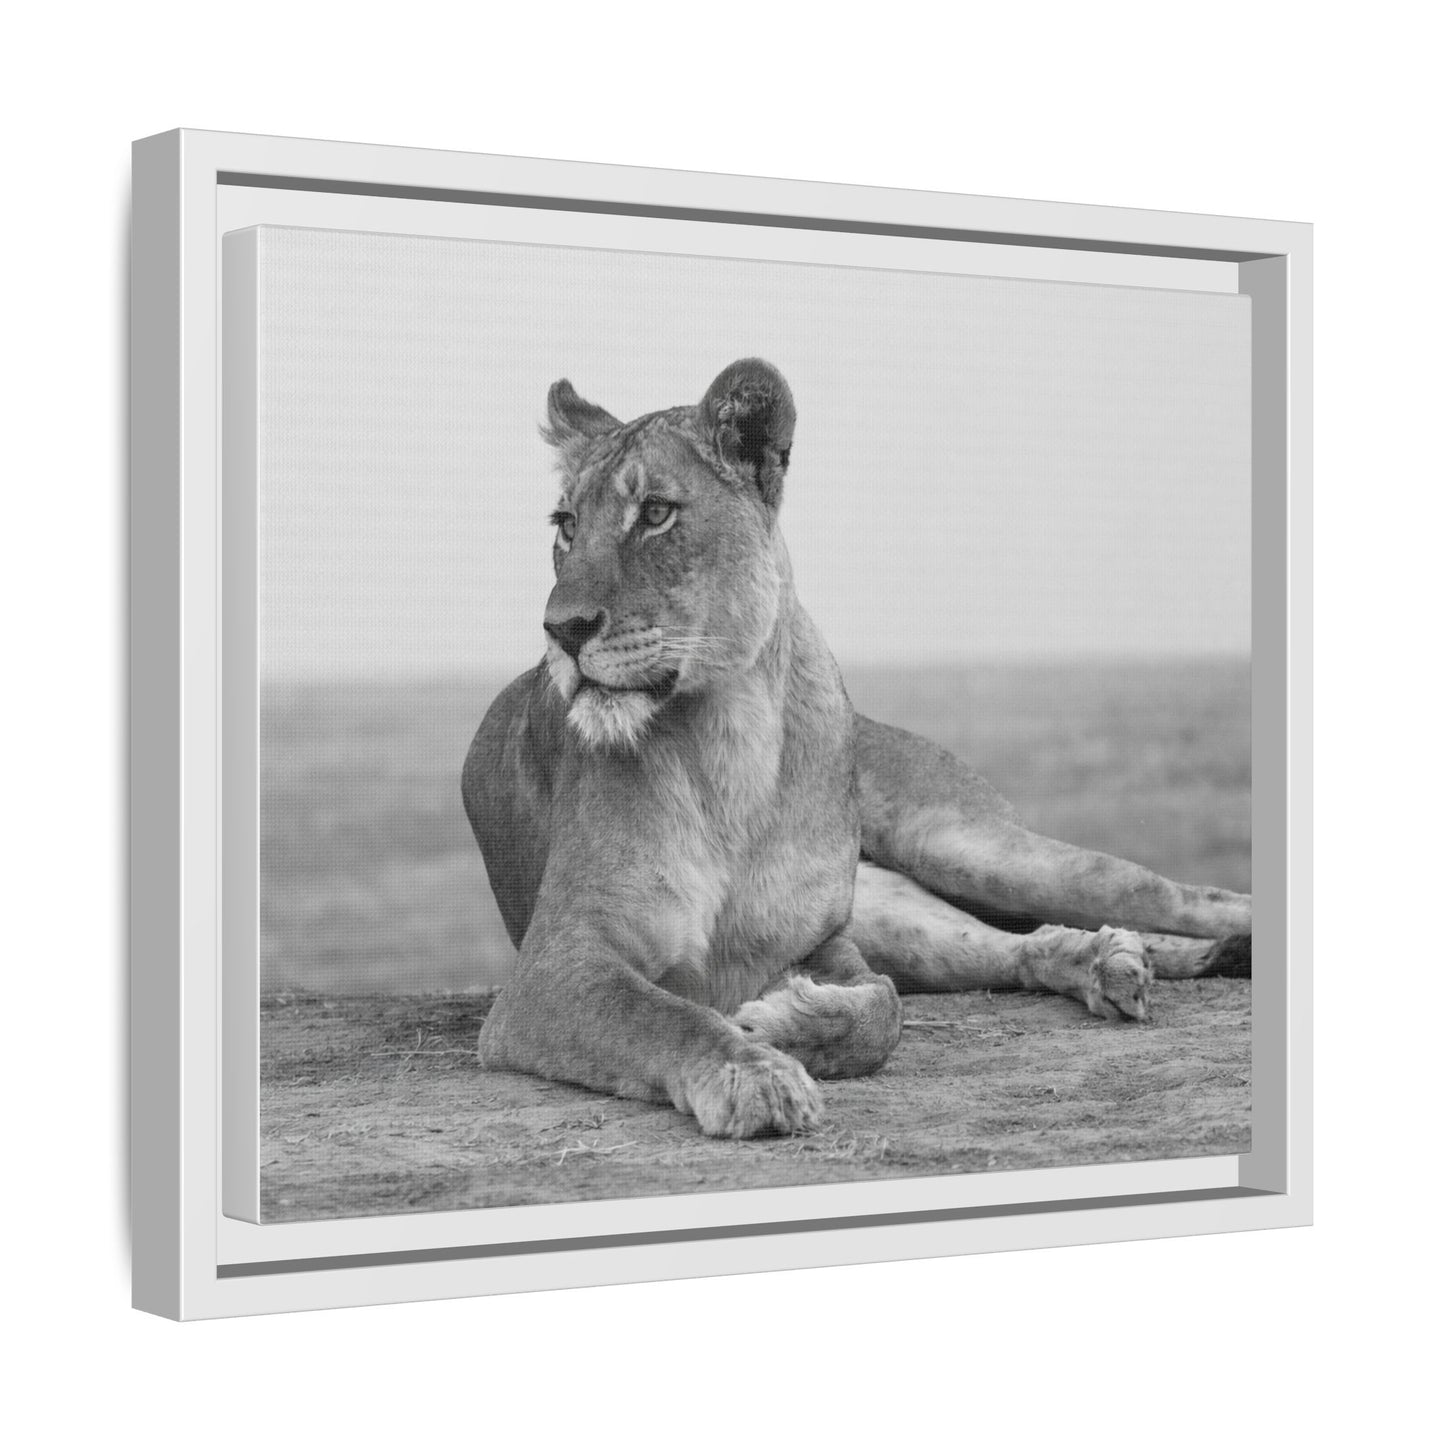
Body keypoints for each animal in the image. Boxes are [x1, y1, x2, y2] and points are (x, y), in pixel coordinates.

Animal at [462, 358, 1251, 1138]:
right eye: (566, 525)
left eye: (656, 512)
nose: (560, 629)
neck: (730, 742)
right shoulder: (555, 966)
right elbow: (665, 1014)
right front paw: (753, 1072)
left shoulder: (821, 941)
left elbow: (883, 1011)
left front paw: (779, 1023)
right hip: (899, 908)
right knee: (1013, 947)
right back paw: (1109, 961)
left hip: (961, 846)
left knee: (1174, 895)